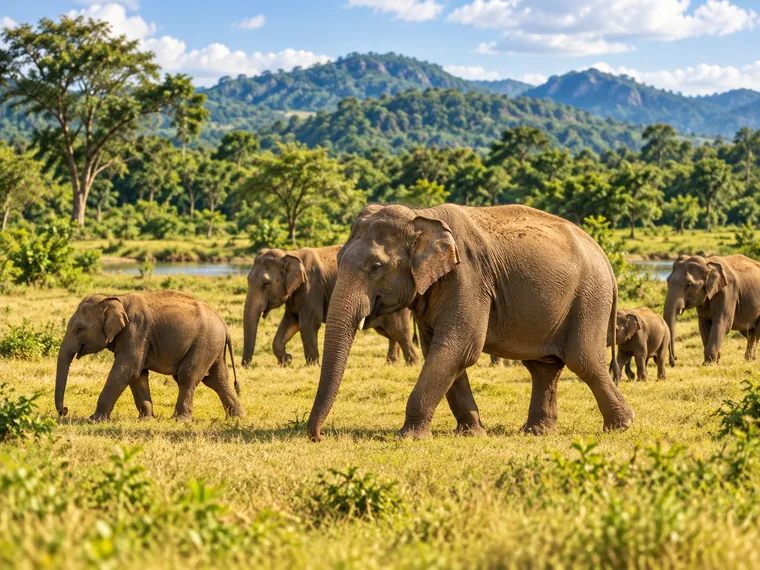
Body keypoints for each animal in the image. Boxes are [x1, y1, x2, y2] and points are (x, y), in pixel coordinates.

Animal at [55, 291, 244, 421]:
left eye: (80, 329)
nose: (64, 410)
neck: (115, 299)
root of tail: (224, 324)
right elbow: (138, 374)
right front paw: (146, 419)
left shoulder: (136, 331)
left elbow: (126, 370)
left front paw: (94, 420)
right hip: (213, 345)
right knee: (216, 380)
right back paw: (237, 417)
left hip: (204, 343)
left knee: (187, 376)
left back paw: (180, 420)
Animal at [241, 246, 419, 368]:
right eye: (248, 279)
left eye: (265, 284)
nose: (245, 366)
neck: (291, 254)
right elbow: (290, 323)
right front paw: (286, 361)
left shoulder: (312, 289)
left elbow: (308, 324)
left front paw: (311, 366)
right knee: (391, 333)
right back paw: (392, 363)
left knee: (399, 331)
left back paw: (412, 363)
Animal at [307, 203, 634, 441]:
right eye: (338, 258)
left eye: (376, 266)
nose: (319, 436)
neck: (422, 216)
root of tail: (605, 258)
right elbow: (440, 350)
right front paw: (472, 433)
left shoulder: (469, 278)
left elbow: (460, 347)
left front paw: (408, 438)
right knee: (544, 367)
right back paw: (537, 431)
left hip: (588, 299)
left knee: (583, 360)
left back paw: (622, 425)